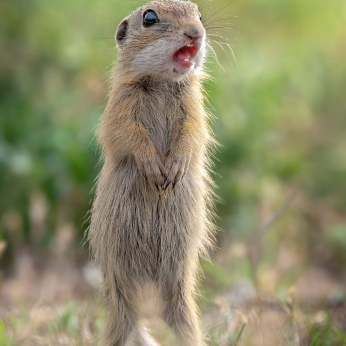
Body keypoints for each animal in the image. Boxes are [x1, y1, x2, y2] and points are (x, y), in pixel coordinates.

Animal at [89, 1, 218, 344]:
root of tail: (147, 311)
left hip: (182, 303)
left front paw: (173, 169)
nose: (195, 33)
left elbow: (193, 135)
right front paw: (153, 168)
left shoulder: (195, 110)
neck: (162, 81)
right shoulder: (120, 108)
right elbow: (128, 135)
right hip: (119, 304)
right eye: (149, 17)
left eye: (199, 15)